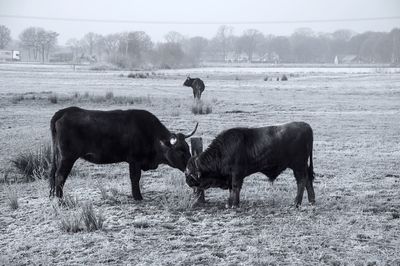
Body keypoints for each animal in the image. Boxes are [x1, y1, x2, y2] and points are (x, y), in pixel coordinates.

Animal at [49, 106, 198, 200]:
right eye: (180, 151)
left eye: (188, 148)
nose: (192, 170)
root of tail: (66, 111)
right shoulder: (135, 161)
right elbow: (135, 178)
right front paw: (138, 197)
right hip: (67, 158)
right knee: (60, 176)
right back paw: (60, 200)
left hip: (59, 157)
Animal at [185, 122, 316, 208]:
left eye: (189, 173)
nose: (187, 182)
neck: (223, 150)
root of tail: (306, 126)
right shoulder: (231, 176)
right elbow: (231, 189)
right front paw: (229, 203)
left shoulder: (236, 174)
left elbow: (235, 187)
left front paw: (234, 204)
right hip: (303, 166)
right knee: (308, 180)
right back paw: (311, 200)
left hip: (298, 166)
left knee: (301, 181)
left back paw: (296, 202)